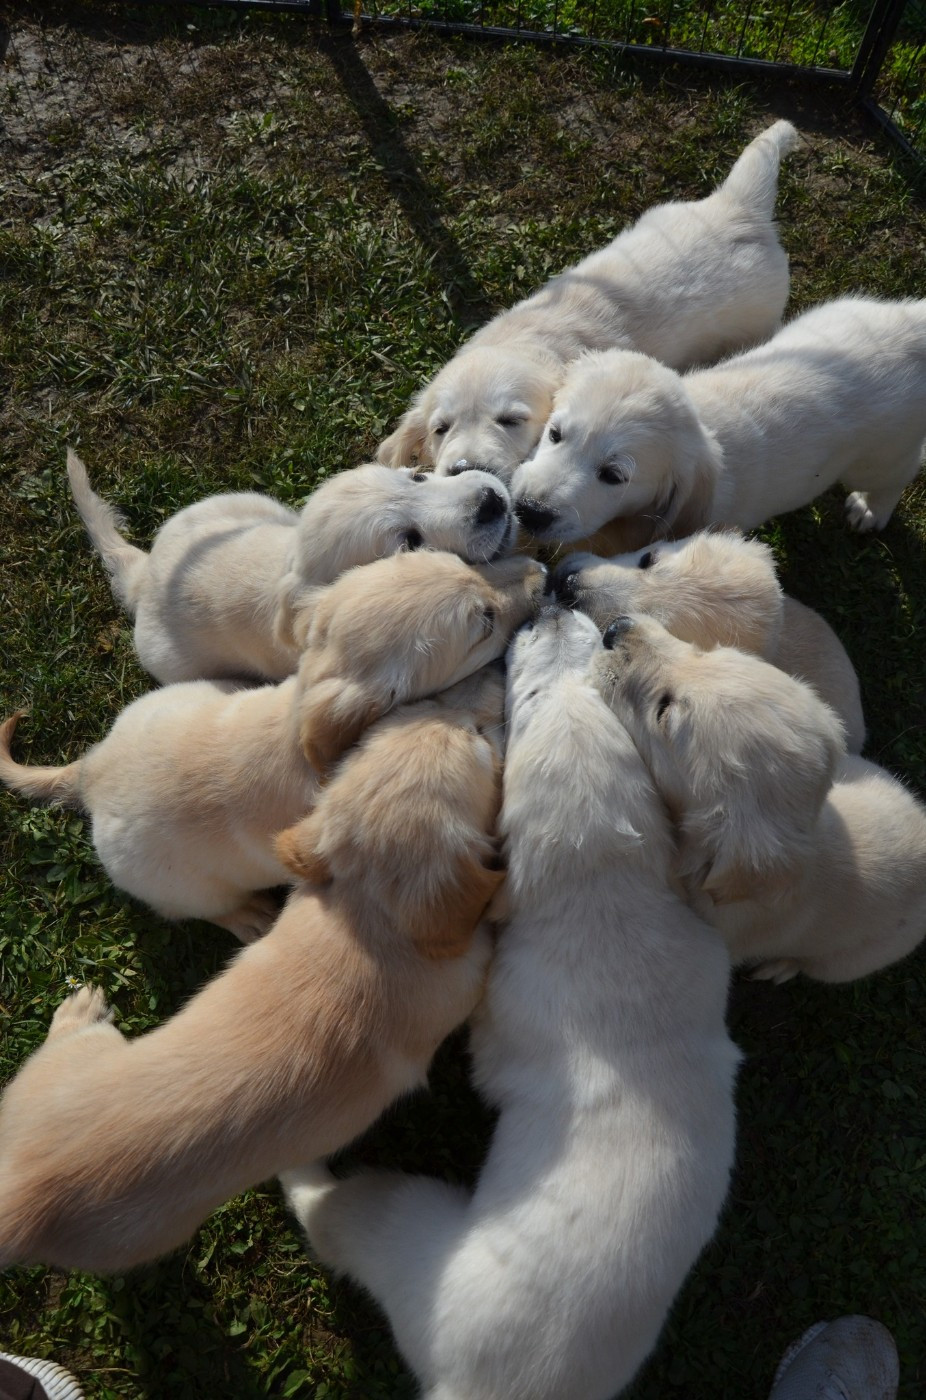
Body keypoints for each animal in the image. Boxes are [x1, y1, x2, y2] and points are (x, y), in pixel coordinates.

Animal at [0, 551, 542, 940]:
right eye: (485, 622)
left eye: (467, 563)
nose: (542, 571)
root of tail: (91, 772)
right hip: (178, 887)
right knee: (202, 909)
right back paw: (248, 918)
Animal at [284, 606, 739, 1400]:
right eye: (587, 685)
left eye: (520, 708)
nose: (553, 606)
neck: (605, 894)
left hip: (405, 1218)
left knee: (335, 1217)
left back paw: (299, 1171)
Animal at [378, 122, 798, 484]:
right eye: (440, 429)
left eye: (511, 420)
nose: (464, 469)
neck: (525, 341)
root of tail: (739, 207)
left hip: (756, 318)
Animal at [511, 297, 926, 544]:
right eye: (555, 434)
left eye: (613, 476)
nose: (529, 510)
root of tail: (912, 324)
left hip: (882, 455)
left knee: (896, 476)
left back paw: (870, 511)